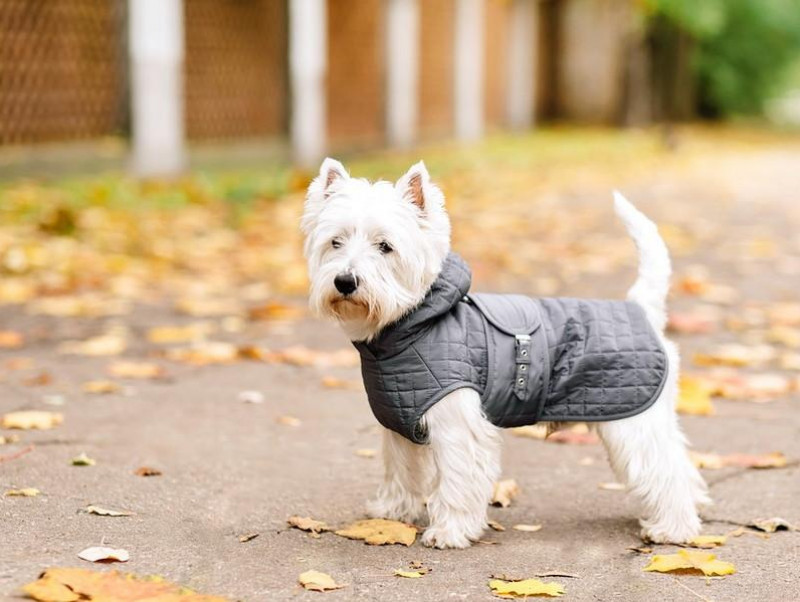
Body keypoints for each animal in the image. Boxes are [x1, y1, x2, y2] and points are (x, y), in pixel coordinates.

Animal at [300, 157, 708, 548]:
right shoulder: (399, 423)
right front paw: (391, 513)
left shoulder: (458, 426)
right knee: (681, 465)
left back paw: (672, 528)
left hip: (633, 421)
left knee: (666, 471)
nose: (345, 281)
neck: (410, 325)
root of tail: (642, 310)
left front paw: (449, 532)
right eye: (335, 242)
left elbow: (457, 482)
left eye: (385, 246)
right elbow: (401, 470)